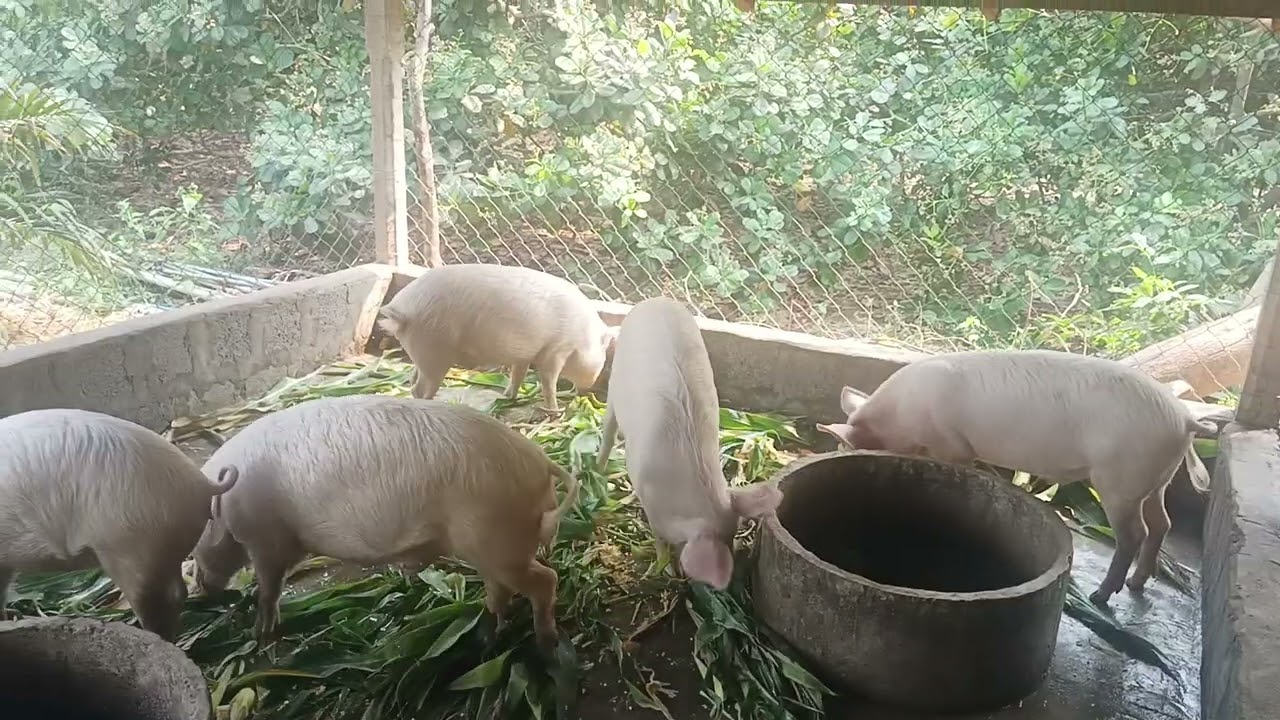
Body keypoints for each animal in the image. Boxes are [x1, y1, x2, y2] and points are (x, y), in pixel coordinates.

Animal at [191, 394, 578, 647]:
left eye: (193, 545)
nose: (201, 592)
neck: (228, 503)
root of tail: (541, 463)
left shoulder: (266, 539)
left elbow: (269, 587)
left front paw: (260, 634)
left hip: (496, 539)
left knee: (544, 580)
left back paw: (546, 642)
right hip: (490, 545)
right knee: (502, 587)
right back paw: (488, 631)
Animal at [377, 263, 618, 413]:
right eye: (604, 357)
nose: (588, 390)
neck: (582, 337)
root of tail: (401, 309)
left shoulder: (524, 355)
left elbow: (518, 374)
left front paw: (508, 396)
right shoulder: (555, 350)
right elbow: (549, 380)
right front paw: (555, 410)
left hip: (421, 351)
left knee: (412, 378)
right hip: (434, 349)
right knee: (419, 389)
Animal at [595, 297, 784, 591]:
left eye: (734, 534)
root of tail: (654, 300)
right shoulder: (647, 495)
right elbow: (658, 536)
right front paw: (664, 568)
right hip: (617, 378)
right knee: (609, 428)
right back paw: (598, 469)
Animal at [814, 349, 1217, 607]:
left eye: (847, 448)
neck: (899, 415)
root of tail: (1185, 418)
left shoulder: (952, 442)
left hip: (1120, 478)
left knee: (1136, 532)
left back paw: (1102, 596)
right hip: (1156, 477)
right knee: (1162, 523)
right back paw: (1136, 584)